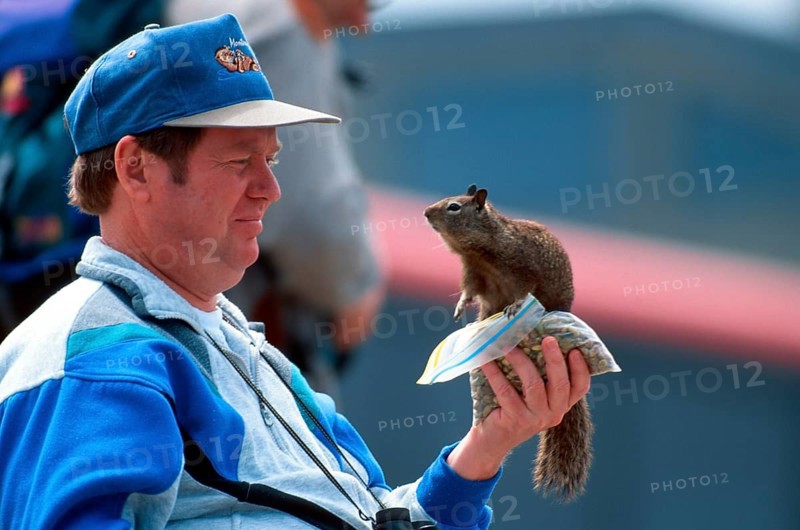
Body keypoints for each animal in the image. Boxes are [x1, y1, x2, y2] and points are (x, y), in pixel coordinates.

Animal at [423, 184, 593, 502]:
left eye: (454, 207)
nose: (426, 212)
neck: (478, 250)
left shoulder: (522, 267)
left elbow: (524, 290)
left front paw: (515, 306)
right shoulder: (473, 273)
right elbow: (469, 291)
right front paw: (461, 307)